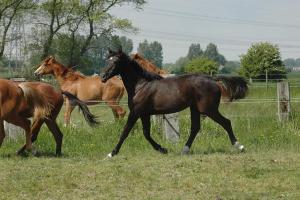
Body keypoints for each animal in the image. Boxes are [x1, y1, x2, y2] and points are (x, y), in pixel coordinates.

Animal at [101, 49, 248, 157]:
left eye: (115, 61)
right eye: (107, 60)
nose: (102, 77)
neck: (140, 86)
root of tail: (213, 79)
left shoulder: (136, 112)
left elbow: (125, 131)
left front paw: (112, 153)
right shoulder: (144, 114)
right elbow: (146, 133)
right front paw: (163, 149)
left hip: (208, 109)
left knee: (226, 122)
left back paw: (240, 146)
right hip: (195, 108)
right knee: (195, 128)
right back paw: (184, 150)